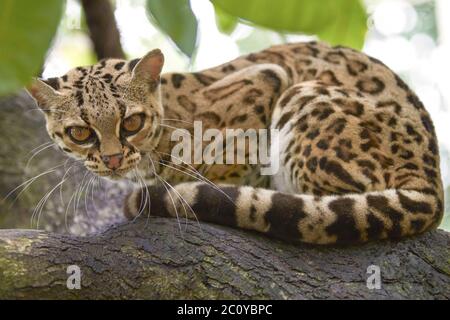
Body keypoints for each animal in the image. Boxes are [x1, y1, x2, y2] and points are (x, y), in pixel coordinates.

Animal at [28, 41, 442, 244]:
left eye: (131, 122)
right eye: (81, 133)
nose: (113, 160)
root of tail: (432, 181)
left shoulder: (265, 79)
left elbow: (229, 161)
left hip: (304, 97)